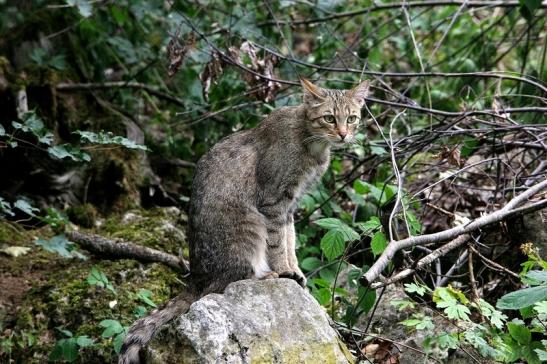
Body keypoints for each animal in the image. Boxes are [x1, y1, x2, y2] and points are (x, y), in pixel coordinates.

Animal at [119, 77, 368, 364]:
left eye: (351, 118)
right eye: (329, 118)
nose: (343, 134)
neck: (312, 143)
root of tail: (195, 279)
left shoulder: (290, 205)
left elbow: (290, 240)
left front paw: (296, 271)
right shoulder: (273, 202)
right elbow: (278, 243)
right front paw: (285, 271)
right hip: (248, 228)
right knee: (231, 282)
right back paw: (266, 274)